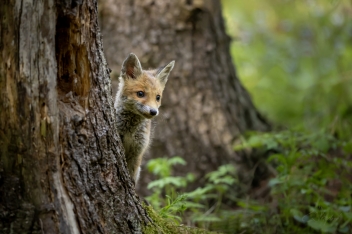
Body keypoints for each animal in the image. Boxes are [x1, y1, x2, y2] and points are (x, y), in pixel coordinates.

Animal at [114, 53, 175, 185]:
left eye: (158, 97)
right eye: (140, 94)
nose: (153, 112)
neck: (130, 131)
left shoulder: (138, 152)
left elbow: (132, 177)